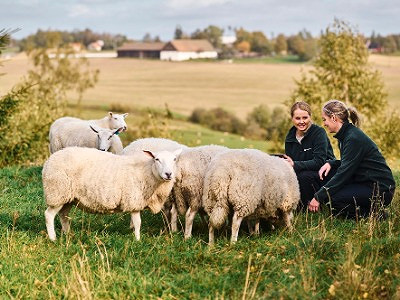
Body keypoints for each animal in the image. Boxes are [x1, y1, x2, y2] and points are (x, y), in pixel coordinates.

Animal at [43, 146, 182, 241]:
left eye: (174, 159)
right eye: (157, 159)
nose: (168, 174)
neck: (147, 171)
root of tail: (49, 161)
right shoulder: (133, 200)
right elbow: (138, 223)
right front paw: (138, 240)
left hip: (68, 197)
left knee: (63, 215)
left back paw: (67, 234)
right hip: (57, 191)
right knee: (49, 215)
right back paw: (53, 238)